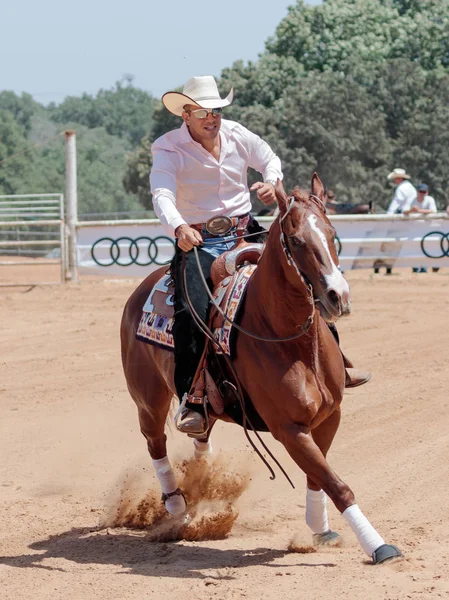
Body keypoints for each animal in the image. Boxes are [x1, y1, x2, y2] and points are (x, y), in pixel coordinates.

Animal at [121, 172, 400, 564]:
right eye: (296, 240)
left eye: (332, 232)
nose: (338, 296)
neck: (287, 338)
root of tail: (140, 292)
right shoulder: (289, 428)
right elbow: (336, 484)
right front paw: (378, 545)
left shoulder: (329, 416)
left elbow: (319, 476)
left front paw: (319, 528)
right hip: (148, 399)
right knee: (155, 442)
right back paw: (177, 507)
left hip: (202, 402)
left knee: (200, 435)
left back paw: (202, 481)